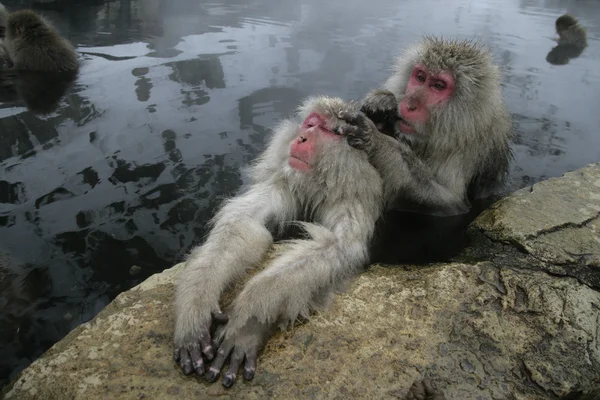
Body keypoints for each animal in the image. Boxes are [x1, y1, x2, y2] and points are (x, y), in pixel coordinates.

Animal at [172, 96, 384, 388]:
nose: (302, 138)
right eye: (310, 124)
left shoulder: (352, 198)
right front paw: (196, 307)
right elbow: (243, 223)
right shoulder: (287, 179)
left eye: (328, 130)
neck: (319, 183)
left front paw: (249, 320)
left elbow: (339, 247)